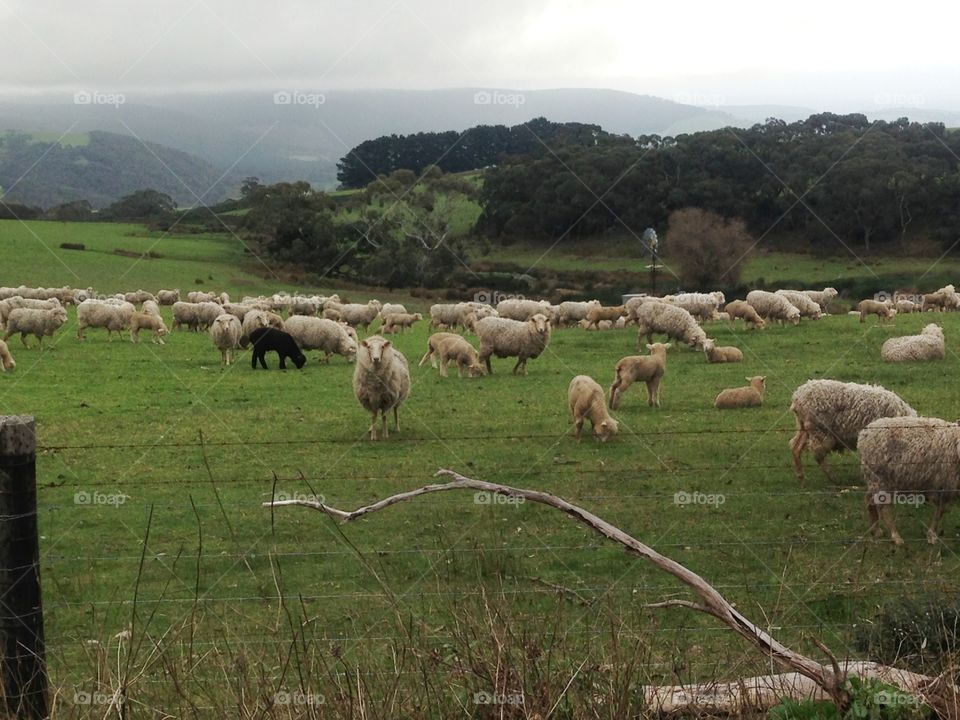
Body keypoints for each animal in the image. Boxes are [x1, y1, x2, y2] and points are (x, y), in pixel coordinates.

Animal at [792, 376, 920, 484]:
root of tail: (798, 397)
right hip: (820, 430)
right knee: (818, 453)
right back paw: (833, 478)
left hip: (804, 427)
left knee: (795, 447)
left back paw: (801, 478)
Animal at [856, 416, 960, 544]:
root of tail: (864, 434)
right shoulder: (944, 486)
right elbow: (939, 512)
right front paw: (932, 536)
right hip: (881, 479)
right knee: (884, 508)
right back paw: (896, 537)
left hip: (873, 479)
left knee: (869, 500)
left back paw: (876, 530)